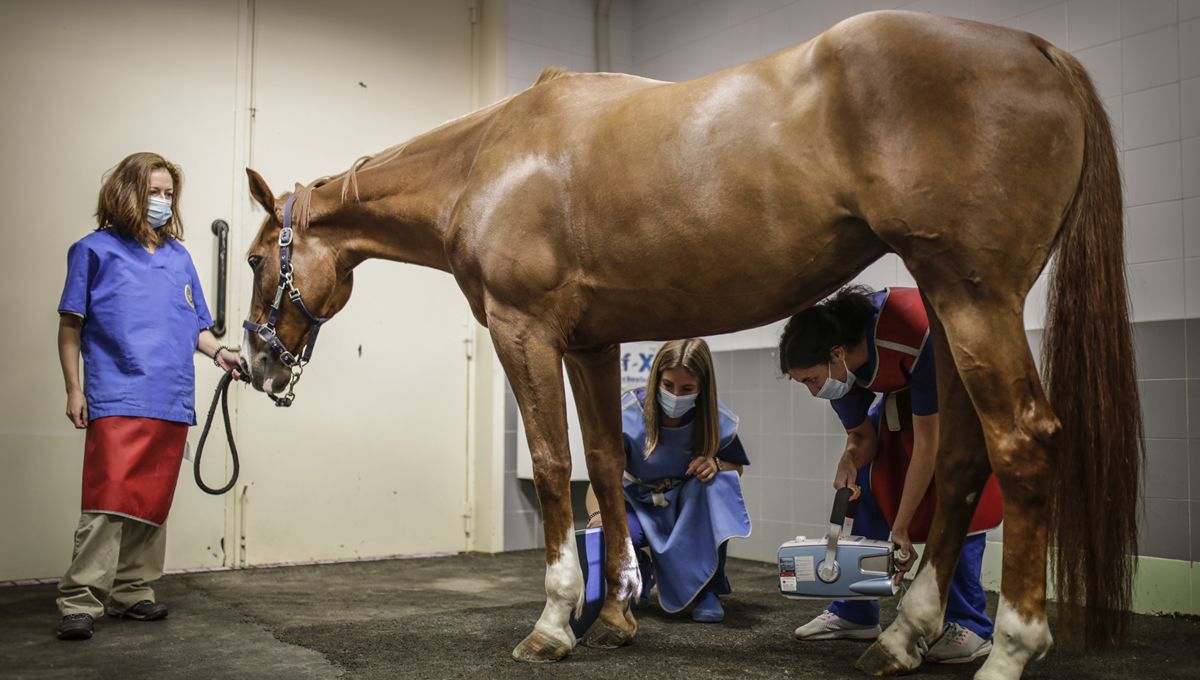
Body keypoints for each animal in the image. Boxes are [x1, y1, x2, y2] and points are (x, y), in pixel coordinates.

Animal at [238, 11, 1137, 680]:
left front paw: (554, 622)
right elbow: (606, 465)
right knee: (958, 460)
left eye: (250, 261)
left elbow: (555, 464)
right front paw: (617, 612)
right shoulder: (592, 344)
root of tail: (1039, 51)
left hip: (973, 299)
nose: (257, 363)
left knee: (1023, 444)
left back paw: (1010, 649)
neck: (488, 163)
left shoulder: (524, 331)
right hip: (953, 315)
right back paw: (900, 637)